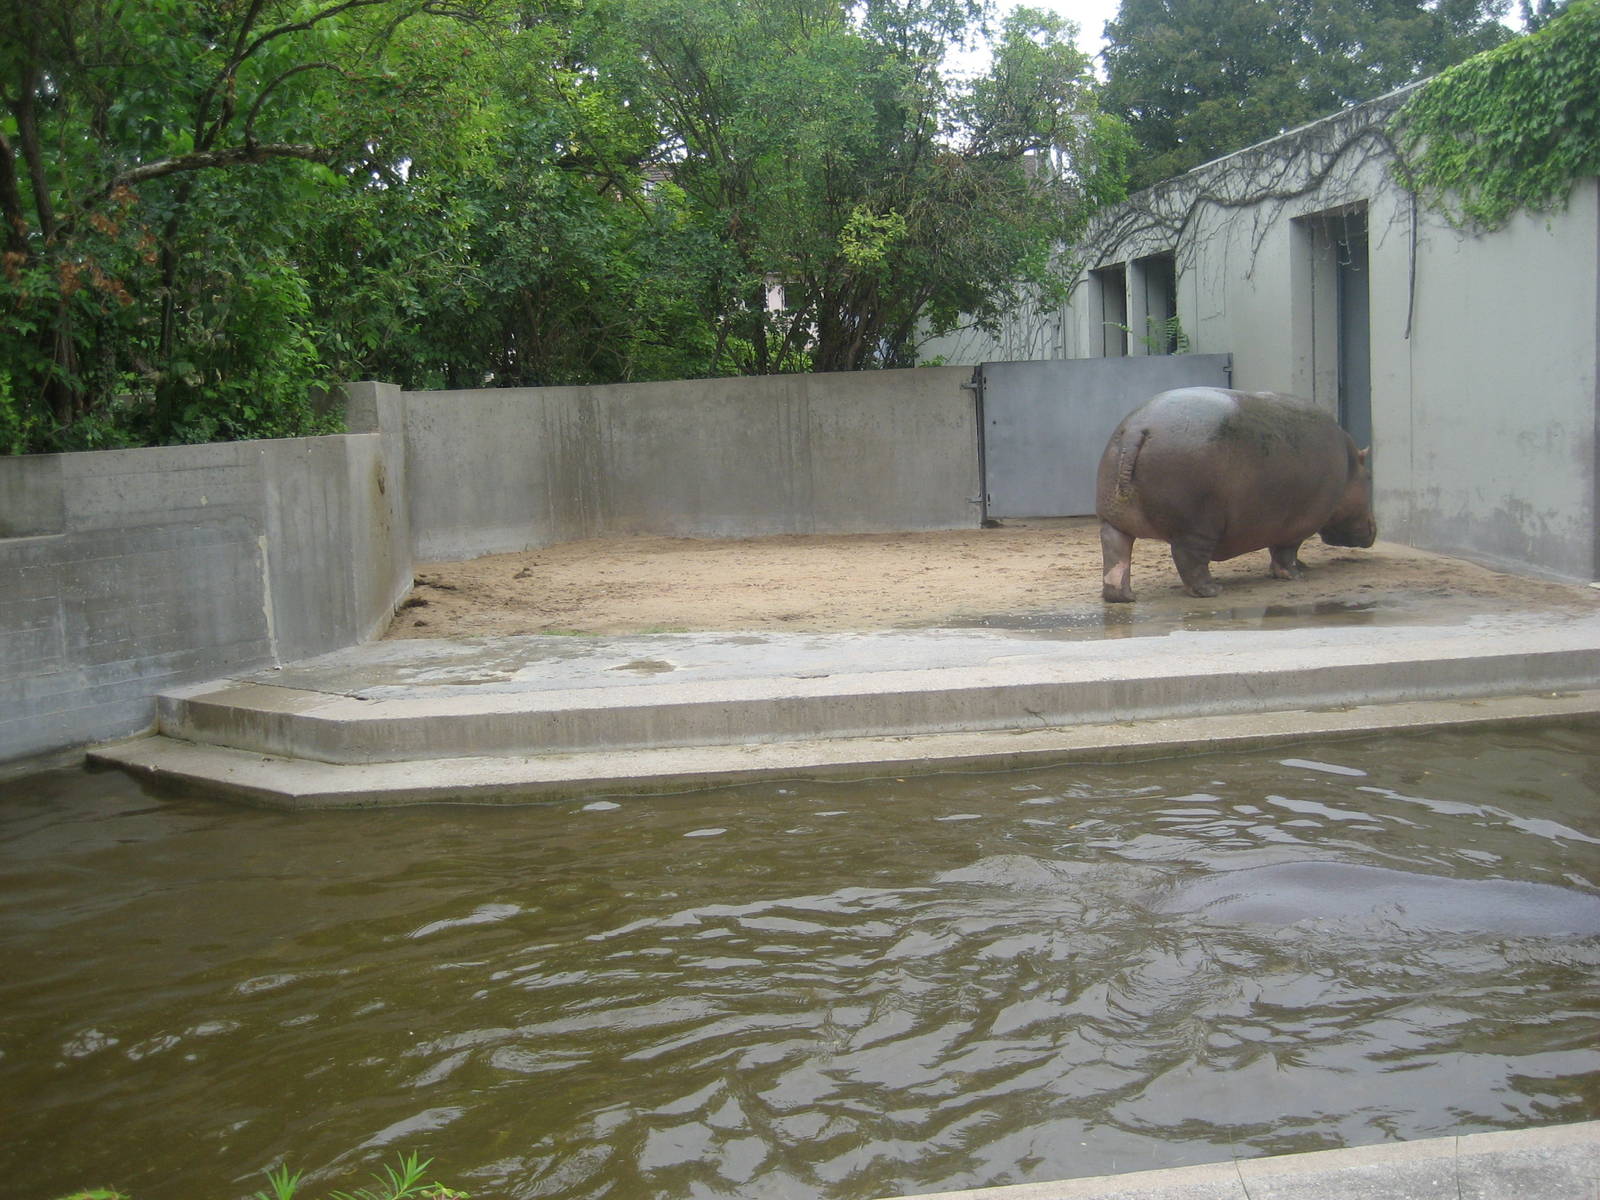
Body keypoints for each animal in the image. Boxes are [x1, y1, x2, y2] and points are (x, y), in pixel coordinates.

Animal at [1096, 387, 1375, 602]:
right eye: (1370, 478)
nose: (1374, 529)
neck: (1350, 466)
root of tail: (1138, 429)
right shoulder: (1300, 523)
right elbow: (1285, 552)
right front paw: (1296, 575)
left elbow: (1280, 551)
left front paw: (1299, 567)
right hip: (1198, 526)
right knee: (1188, 559)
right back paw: (1211, 590)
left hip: (1114, 520)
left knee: (1116, 553)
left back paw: (1124, 597)